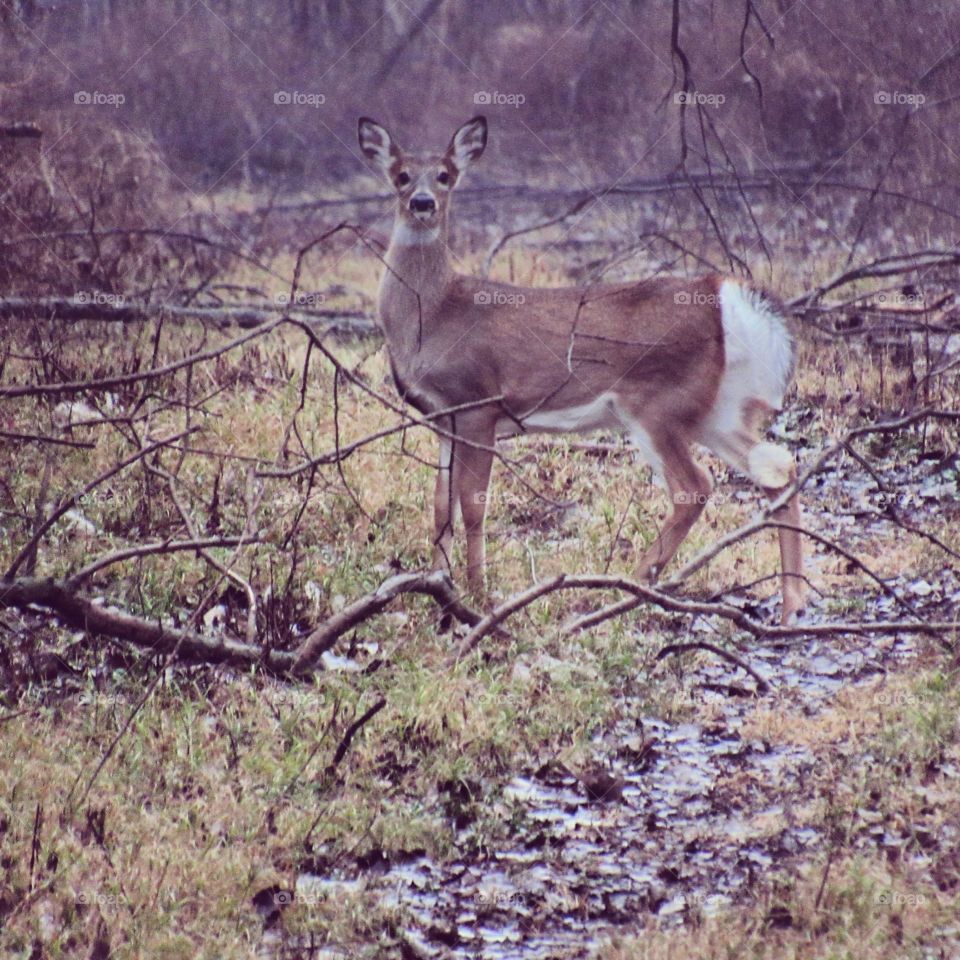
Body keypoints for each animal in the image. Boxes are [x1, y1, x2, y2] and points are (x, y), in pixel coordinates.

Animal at [356, 114, 808, 624]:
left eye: (446, 175)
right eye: (401, 176)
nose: (422, 203)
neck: (433, 316)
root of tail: (722, 294)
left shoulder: (478, 403)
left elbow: (472, 504)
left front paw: (476, 594)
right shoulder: (441, 419)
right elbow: (439, 504)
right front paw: (440, 590)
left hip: (656, 403)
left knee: (695, 486)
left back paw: (629, 586)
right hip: (716, 408)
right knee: (777, 465)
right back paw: (793, 602)